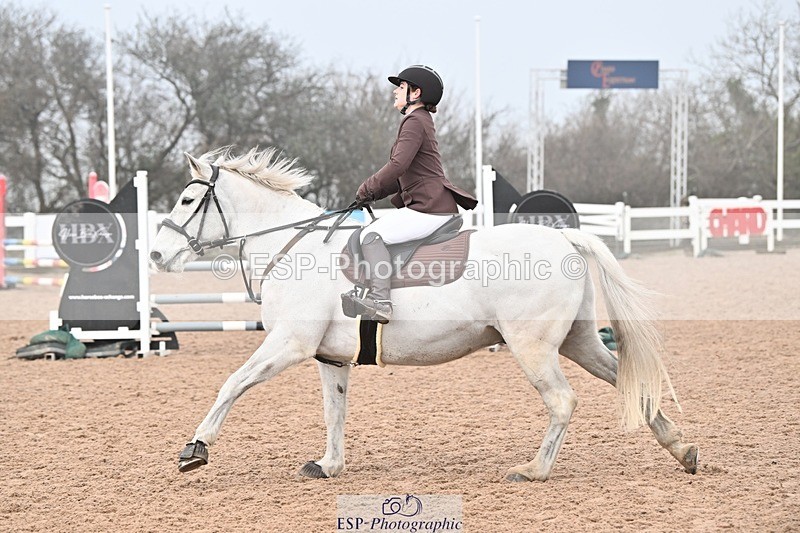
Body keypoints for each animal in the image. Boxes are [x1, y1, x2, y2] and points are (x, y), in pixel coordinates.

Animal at [149, 147, 698, 482]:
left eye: (188, 199)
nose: (156, 255)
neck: (293, 246)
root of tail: (565, 239)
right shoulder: (329, 358)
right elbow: (333, 411)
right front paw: (329, 465)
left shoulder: (288, 344)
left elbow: (232, 384)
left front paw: (195, 449)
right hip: (577, 341)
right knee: (626, 379)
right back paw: (681, 448)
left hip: (533, 346)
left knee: (562, 401)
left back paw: (533, 470)